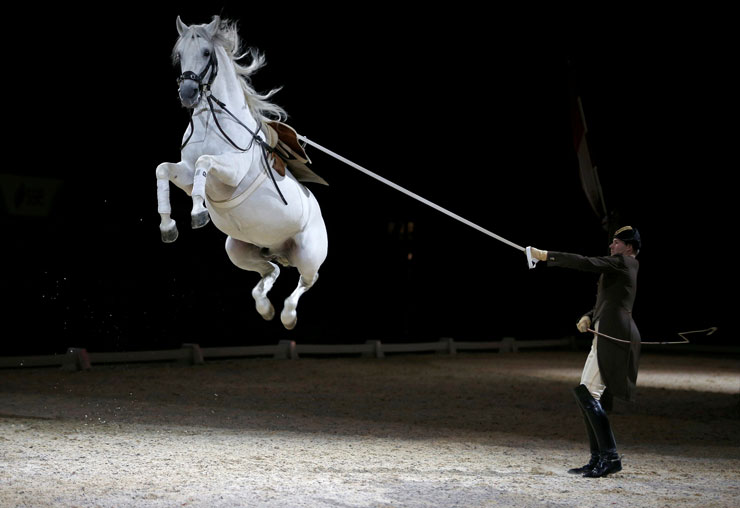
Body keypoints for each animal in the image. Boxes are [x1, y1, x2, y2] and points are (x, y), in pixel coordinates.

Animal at [155, 15, 326, 330]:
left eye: (206, 52)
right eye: (179, 55)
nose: (188, 93)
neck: (211, 122)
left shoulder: (230, 172)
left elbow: (205, 163)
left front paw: (198, 213)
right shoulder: (185, 176)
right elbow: (164, 170)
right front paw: (168, 226)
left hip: (308, 254)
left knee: (307, 280)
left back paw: (287, 315)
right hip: (238, 250)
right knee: (271, 271)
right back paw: (265, 308)